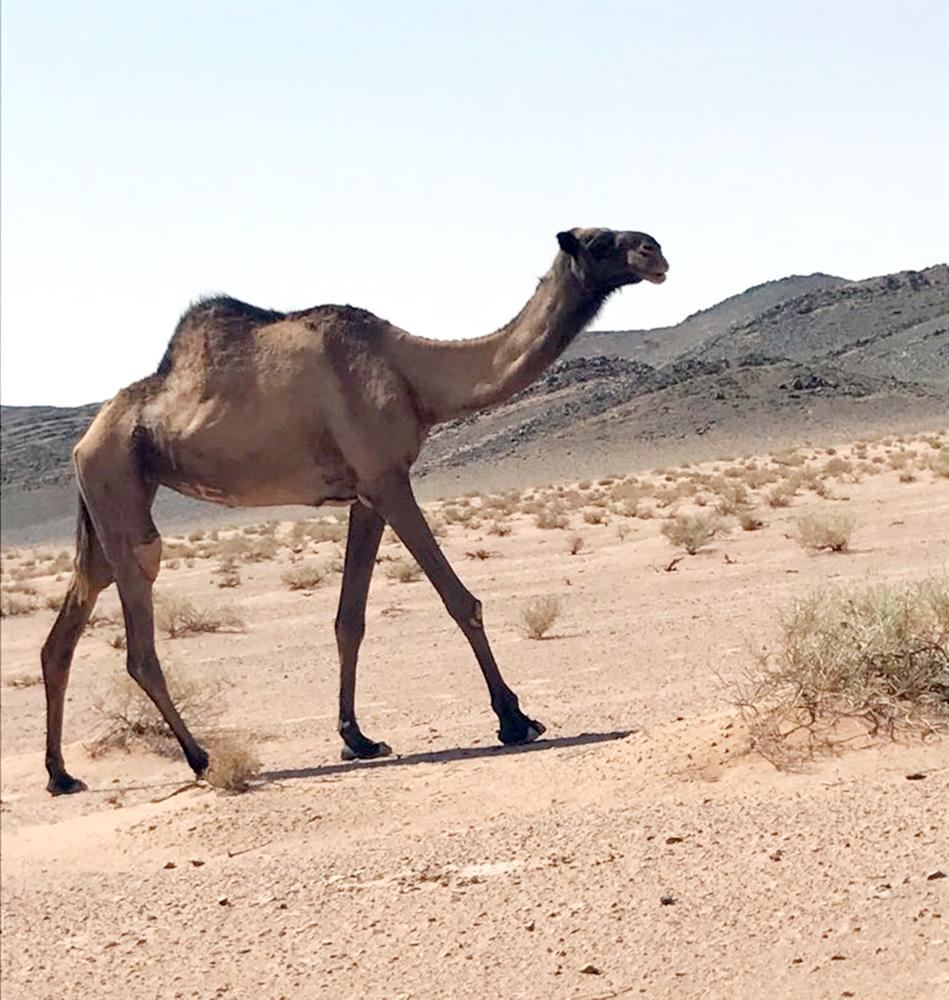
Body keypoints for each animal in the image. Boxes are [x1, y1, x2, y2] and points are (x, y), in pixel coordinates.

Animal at [39, 229, 668, 796]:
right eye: (600, 241)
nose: (655, 250)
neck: (414, 376)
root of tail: (83, 442)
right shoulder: (389, 480)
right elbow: (459, 600)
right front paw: (515, 719)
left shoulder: (365, 495)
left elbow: (350, 619)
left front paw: (357, 738)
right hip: (119, 484)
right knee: (140, 644)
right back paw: (199, 757)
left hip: (108, 505)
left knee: (64, 632)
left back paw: (61, 775)